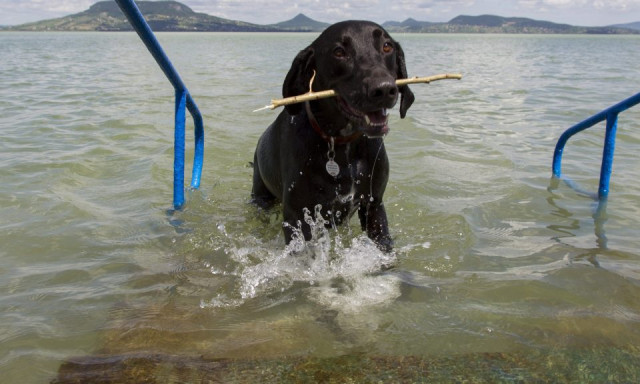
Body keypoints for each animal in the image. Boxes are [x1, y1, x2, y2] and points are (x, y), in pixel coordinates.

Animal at [250, 20, 416, 252]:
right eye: (339, 52)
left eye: (387, 46)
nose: (383, 89)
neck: (341, 146)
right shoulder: (297, 217)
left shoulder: (373, 204)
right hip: (261, 195)